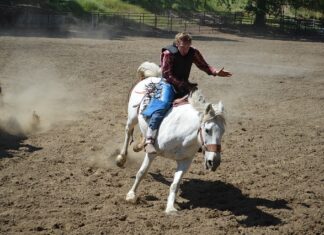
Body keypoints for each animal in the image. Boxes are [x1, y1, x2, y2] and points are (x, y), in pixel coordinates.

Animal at [116, 61, 225, 214]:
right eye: (207, 130)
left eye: (223, 132)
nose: (213, 162)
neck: (182, 135)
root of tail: (154, 78)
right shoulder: (152, 153)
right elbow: (142, 172)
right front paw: (131, 196)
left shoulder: (185, 161)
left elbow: (175, 184)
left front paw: (170, 208)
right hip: (132, 117)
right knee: (128, 132)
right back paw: (121, 158)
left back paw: (139, 145)